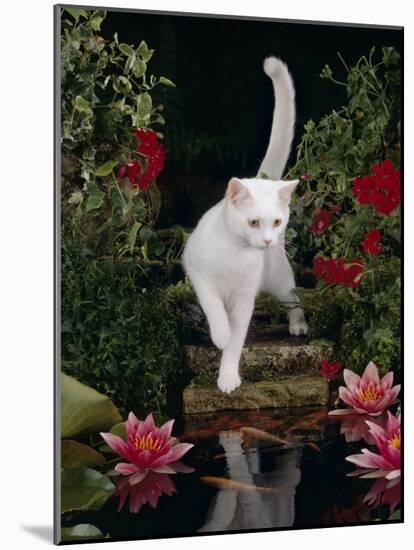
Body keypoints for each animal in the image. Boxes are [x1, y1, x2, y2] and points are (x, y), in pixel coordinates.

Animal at [181, 56, 308, 394]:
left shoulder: (244, 299)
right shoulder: (199, 276)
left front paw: (227, 376)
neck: (234, 255)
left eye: (276, 221)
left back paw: (298, 325)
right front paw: (220, 335)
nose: (266, 240)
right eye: (253, 222)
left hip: (279, 279)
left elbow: (237, 342)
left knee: (294, 299)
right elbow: (214, 310)